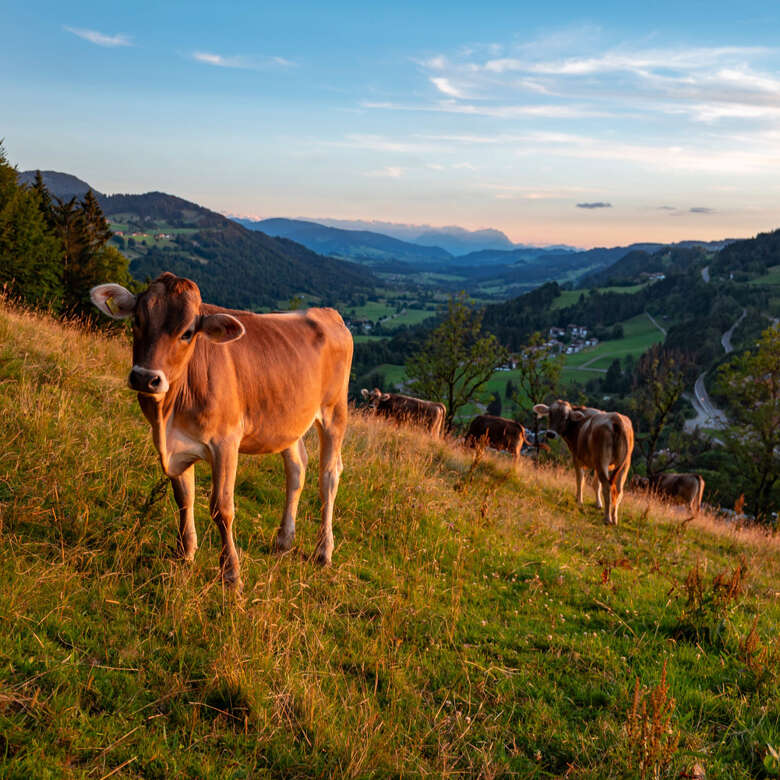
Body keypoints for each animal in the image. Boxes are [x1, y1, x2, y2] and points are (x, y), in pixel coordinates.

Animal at [89, 272, 354, 588]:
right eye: (138, 320)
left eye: (187, 332)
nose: (145, 378)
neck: (169, 413)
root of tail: (328, 313)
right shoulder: (175, 444)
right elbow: (184, 497)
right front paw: (185, 553)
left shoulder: (226, 443)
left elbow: (221, 508)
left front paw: (231, 573)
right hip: (288, 418)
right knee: (297, 468)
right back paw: (283, 541)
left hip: (334, 411)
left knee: (329, 476)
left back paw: (323, 551)